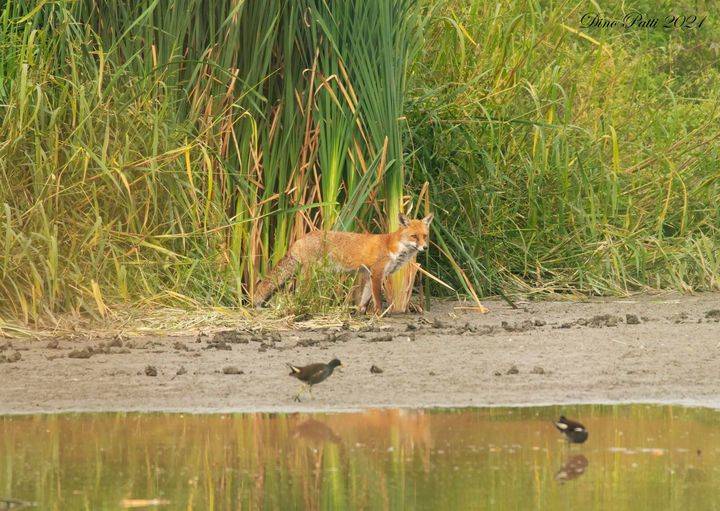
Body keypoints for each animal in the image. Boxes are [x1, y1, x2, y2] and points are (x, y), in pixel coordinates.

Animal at [253, 214, 434, 314]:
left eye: (425, 236)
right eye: (414, 236)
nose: (425, 248)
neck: (393, 246)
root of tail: (299, 239)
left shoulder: (368, 275)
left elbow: (364, 298)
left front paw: (361, 313)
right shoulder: (377, 273)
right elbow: (377, 299)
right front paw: (379, 314)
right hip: (308, 276)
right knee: (298, 294)